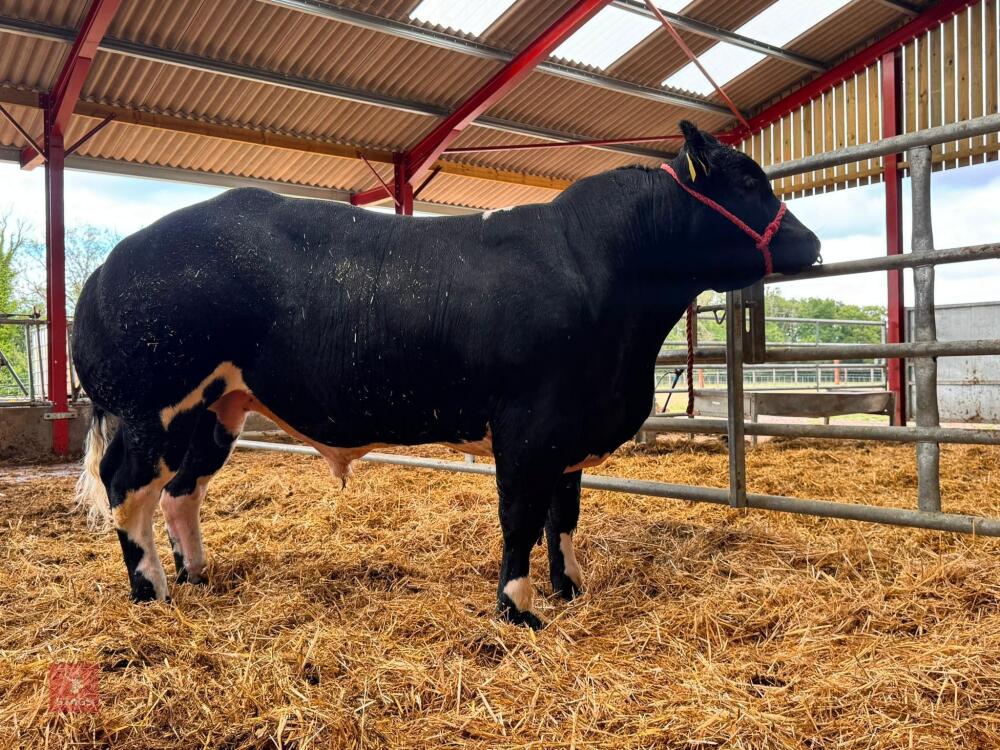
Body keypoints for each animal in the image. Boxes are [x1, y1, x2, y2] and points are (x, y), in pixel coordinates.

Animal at [72, 122, 820, 628]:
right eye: (748, 181)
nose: (811, 243)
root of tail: (109, 263)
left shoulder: (571, 426)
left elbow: (565, 513)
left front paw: (571, 586)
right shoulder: (529, 425)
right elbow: (521, 517)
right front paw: (517, 608)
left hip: (217, 410)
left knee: (180, 493)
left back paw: (198, 574)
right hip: (153, 407)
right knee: (127, 489)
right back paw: (152, 591)